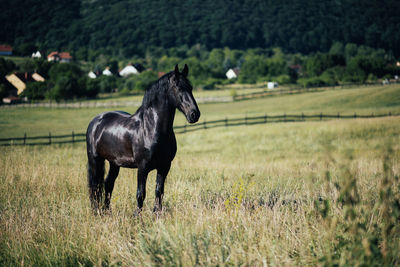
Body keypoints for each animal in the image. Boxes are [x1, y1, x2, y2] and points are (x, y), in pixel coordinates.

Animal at [86, 65, 200, 216]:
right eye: (179, 88)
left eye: (191, 88)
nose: (194, 114)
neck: (151, 128)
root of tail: (96, 121)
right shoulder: (142, 167)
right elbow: (141, 193)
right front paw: (137, 216)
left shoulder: (164, 166)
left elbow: (159, 191)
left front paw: (157, 213)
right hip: (95, 160)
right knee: (95, 187)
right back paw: (96, 211)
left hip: (114, 163)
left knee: (108, 184)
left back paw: (107, 211)